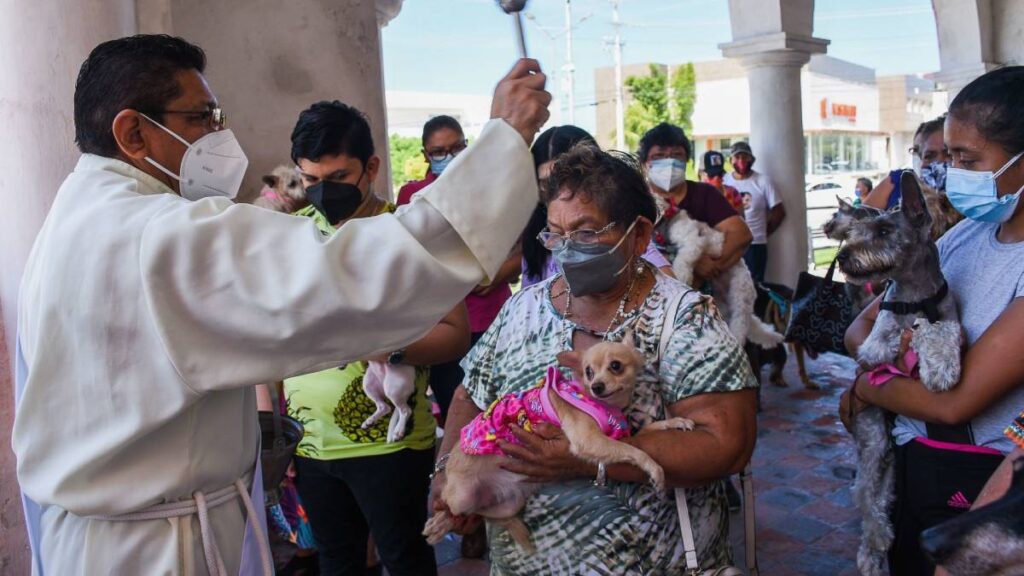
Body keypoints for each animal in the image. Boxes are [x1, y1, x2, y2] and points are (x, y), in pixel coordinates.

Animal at [419, 332, 692, 553]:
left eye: (616, 366)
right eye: (588, 371)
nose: (597, 386)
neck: (604, 404)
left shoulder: (617, 436)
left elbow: (644, 433)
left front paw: (674, 422)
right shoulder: (590, 440)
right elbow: (635, 451)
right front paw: (655, 470)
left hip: (507, 506)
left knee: (478, 513)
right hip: (462, 495)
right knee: (452, 509)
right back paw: (437, 524)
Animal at [663, 208, 782, 348]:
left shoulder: (694, 244)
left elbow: (684, 259)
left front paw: (682, 275)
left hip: (740, 300)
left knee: (740, 326)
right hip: (723, 307)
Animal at [827, 171, 962, 573]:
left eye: (885, 230)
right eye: (859, 230)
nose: (843, 256)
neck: (915, 296)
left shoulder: (948, 316)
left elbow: (941, 330)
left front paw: (941, 365)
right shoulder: (875, 345)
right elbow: (901, 336)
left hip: (889, 464)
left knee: (880, 499)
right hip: (874, 443)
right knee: (865, 496)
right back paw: (875, 546)